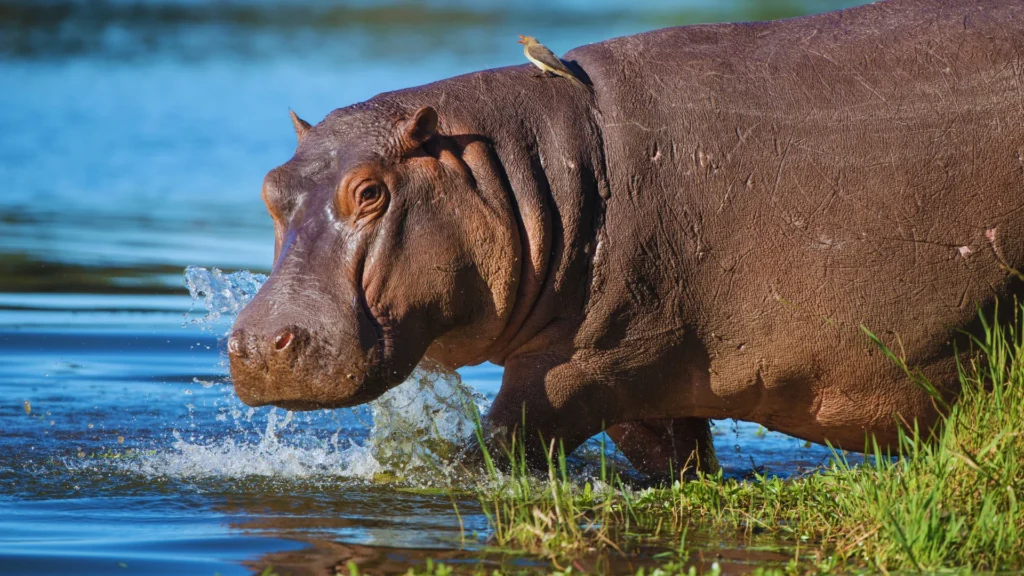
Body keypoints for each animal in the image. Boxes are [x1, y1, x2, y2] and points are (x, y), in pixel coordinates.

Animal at [228, 0, 1024, 476]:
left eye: (370, 191)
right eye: (270, 186)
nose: (259, 343)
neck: (519, 168)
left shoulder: (584, 365)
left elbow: (495, 447)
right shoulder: (652, 378)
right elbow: (678, 459)